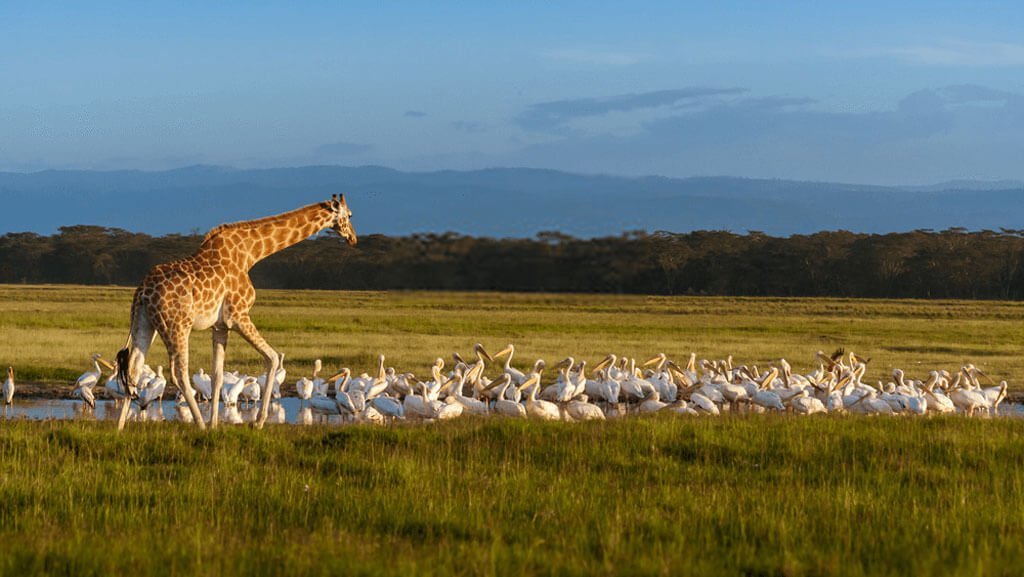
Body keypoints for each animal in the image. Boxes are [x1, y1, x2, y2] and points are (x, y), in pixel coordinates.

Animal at [115, 194, 357, 430]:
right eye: (350, 215)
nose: (353, 238)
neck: (250, 253)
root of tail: (143, 291)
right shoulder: (238, 316)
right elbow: (272, 358)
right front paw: (257, 422)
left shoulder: (220, 326)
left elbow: (217, 375)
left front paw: (215, 424)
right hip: (177, 326)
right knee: (179, 373)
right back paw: (199, 424)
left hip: (145, 323)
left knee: (133, 369)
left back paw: (120, 427)